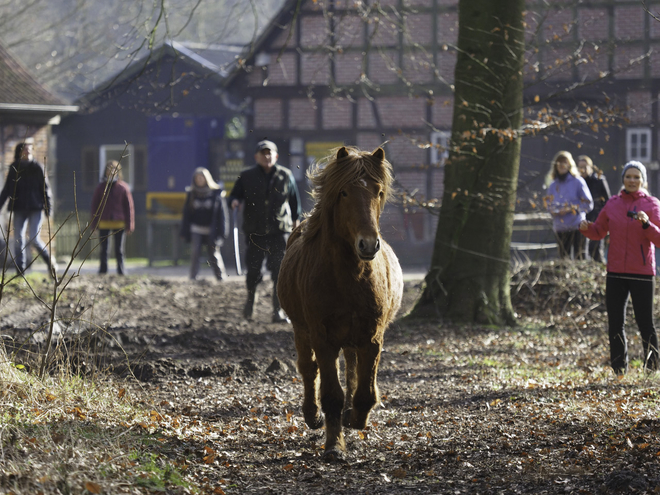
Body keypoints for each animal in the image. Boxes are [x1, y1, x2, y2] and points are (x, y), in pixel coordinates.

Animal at [274, 146, 402, 462]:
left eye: (378, 191)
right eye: (344, 193)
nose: (368, 244)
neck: (349, 277)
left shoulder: (372, 337)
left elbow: (365, 391)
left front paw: (356, 418)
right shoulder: (323, 339)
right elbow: (330, 393)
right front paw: (334, 446)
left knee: (352, 367)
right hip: (301, 330)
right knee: (308, 370)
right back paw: (312, 416)